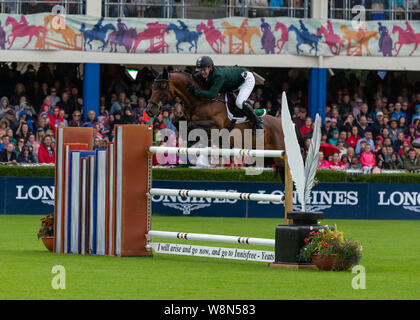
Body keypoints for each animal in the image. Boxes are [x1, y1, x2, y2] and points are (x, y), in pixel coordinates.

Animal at [145, 67, 306, 182]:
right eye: (152, 86)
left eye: (163, 86)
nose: (150, 110)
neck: (201, 100)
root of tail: (290, 126)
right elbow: (177, 122)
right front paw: (190, 141)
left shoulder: (216, 125)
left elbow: (192, 126)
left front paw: (197, 141)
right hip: (270, 157)